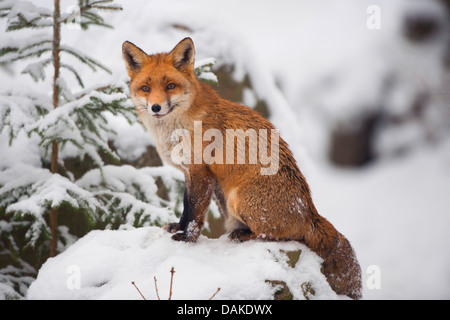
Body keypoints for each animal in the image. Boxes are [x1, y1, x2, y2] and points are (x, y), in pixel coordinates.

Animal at [122, 37, 362, 300]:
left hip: (238, 199)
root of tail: (311, 212)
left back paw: (242, 235)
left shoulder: (201, 172)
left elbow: (195, 213)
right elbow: (186, 208)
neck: (177, 129)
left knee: (282, 236)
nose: (155, 107)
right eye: (146, 88)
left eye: (171, 86)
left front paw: (187, 239)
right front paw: (178, 228)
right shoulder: (188, 173)